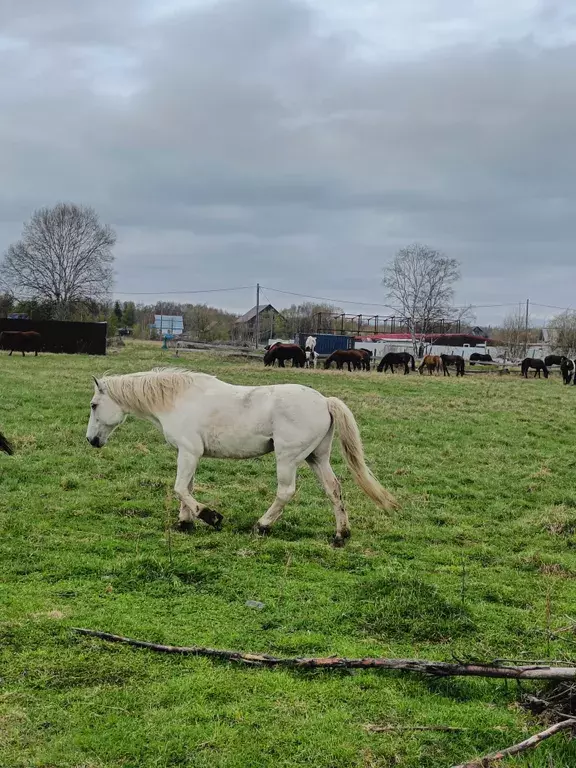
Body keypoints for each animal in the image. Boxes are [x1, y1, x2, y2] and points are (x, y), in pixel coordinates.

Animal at [86, 368, 396, 544]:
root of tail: (324, 401)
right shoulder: (189, 455)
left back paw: (262, 526)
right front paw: (185, 523)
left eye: (93, 405)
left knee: (286, 492)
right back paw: (341, 535)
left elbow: (180, 488)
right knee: (334, 490)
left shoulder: (189, 452)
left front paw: (210, 517)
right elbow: (186, 488)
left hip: (287, 459)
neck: (178, 400)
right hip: (317, 459)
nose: (91, 440)